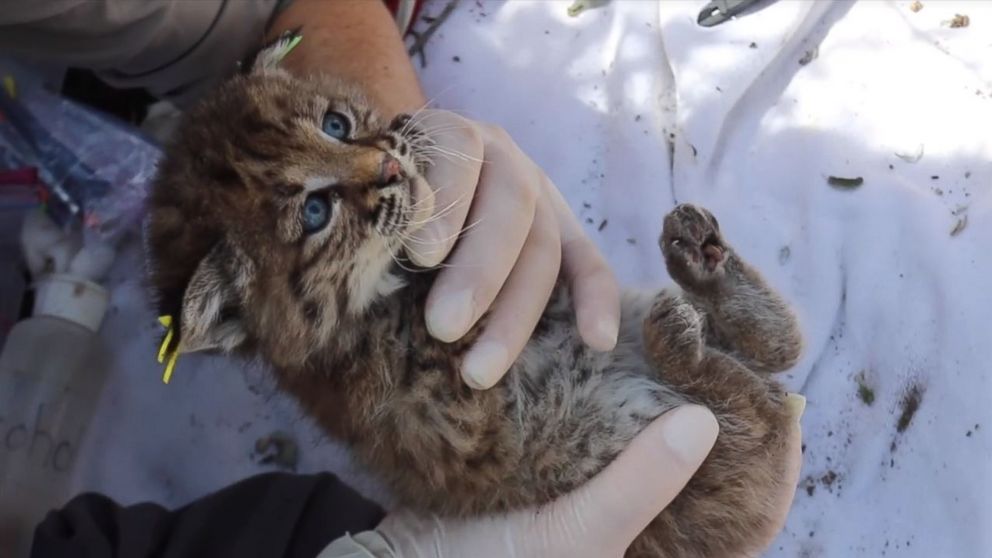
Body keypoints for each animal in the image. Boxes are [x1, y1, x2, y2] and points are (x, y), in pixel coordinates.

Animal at [143, 37, 804, 556]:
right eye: (314, 212)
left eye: (336, 124)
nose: (390, 167)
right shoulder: (456, 408)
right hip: (669, 469)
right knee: (758, 410)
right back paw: (684, 346)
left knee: (781, 356)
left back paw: (705, 263)